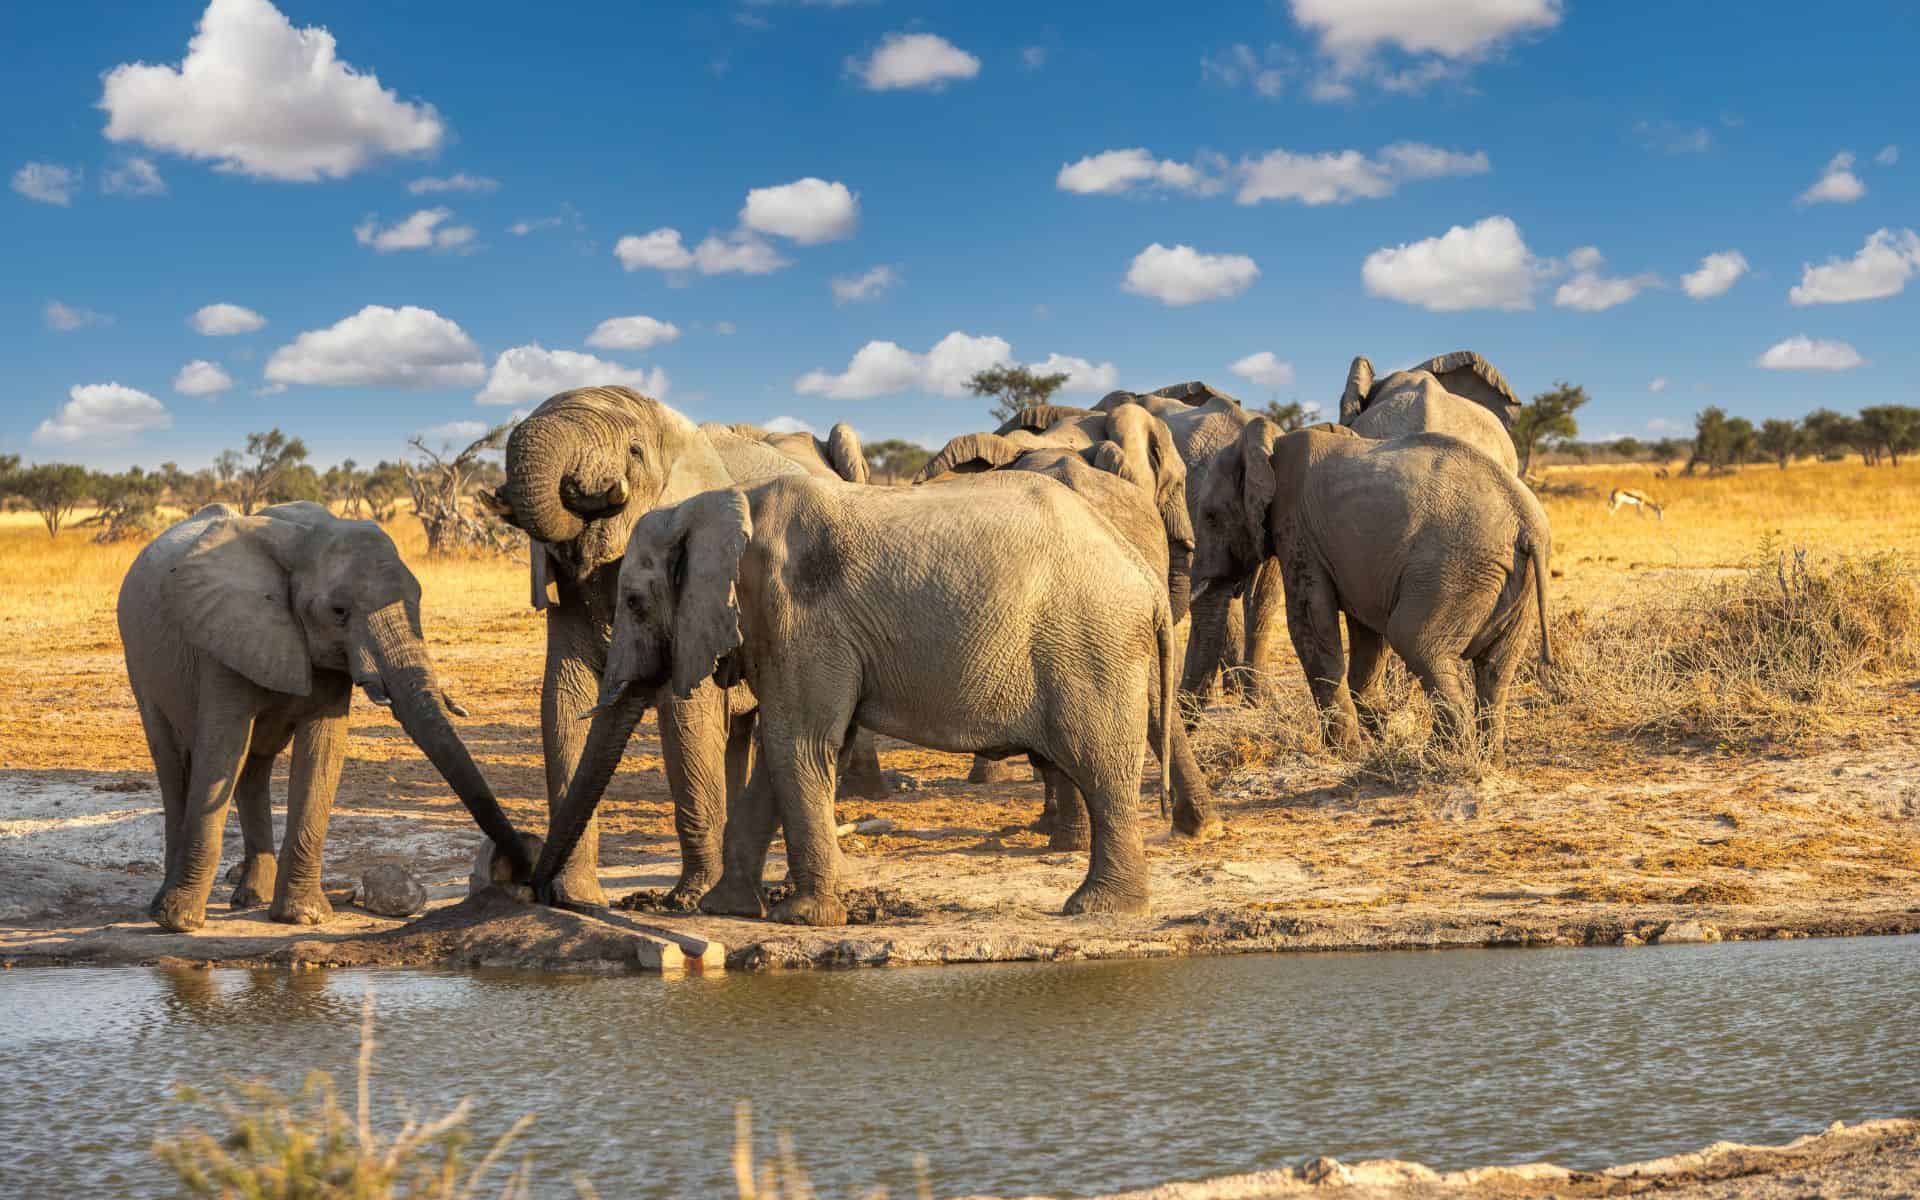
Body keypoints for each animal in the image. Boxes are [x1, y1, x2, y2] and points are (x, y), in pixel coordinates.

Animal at [117, 502, 529, 932]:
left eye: (417, 598)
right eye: (339, 612)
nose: (519, 869)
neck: (301, 541)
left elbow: (322, 751)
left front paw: (302, 917)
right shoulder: (222, 638)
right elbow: (221, 750)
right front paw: (179, 922)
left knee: (253, 766)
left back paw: (252, 897)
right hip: (140, 662)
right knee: (173, 762)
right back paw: (166, 905)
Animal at [485, 386, 809, 909]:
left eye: (634, 453)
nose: (527, 882)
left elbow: (685, 714)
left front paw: (689, 899)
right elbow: (563, 701)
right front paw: (576, 898)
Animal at [530, 472, 1179, 925]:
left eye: (635, 602)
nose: (539, 895)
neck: (721, 505)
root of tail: (1145, 577)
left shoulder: (801, 620)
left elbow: (799, 746)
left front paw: (801, 919)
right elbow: (790, 755)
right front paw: (726, 910)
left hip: (1091, 645)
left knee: (1099, 768)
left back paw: (1096, 910)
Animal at [1189, 421, 1553, 767]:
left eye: (1210, 517)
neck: (1268, 443)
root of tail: (1526, 522)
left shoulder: (1298, 531)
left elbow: (1310, 622)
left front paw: (1345, 752)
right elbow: (1365, 632)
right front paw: (1383, 734)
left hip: (1456, 570)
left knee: (1415, 641)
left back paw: (1442, 757)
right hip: (1515, 583)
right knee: (1496, 668)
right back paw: (1488, 759)